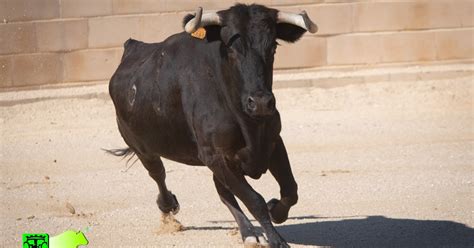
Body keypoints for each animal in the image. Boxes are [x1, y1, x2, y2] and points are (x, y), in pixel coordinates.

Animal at [108, 3, 318, 248]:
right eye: (231, 49)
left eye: (273, 47)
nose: (260, 103)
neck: (248, 122)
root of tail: (133, 46)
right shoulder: (215, 155)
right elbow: (254, 200)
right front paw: (276, 240)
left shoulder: (273, 142)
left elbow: (290, 190)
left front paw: (276, 210)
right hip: (142, 148)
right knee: (158, 173)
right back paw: (169, 205)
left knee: (222, 191)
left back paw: (248, 233)